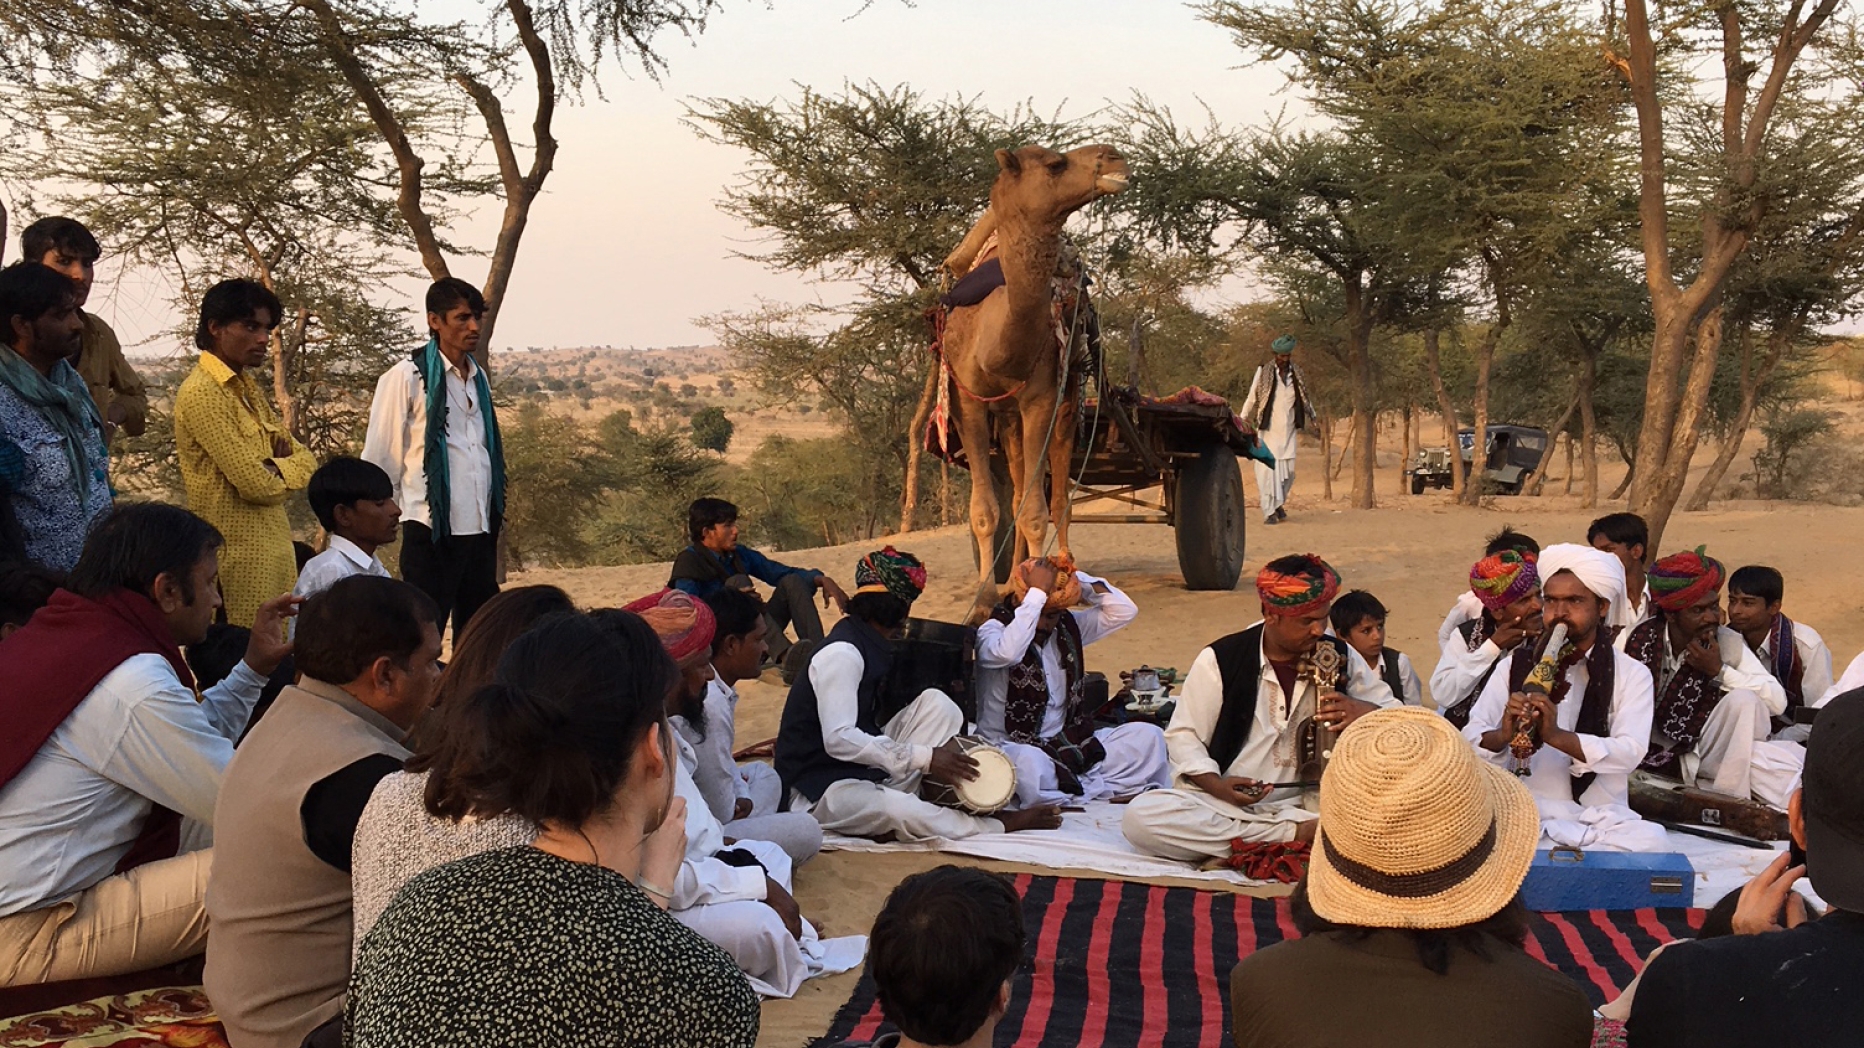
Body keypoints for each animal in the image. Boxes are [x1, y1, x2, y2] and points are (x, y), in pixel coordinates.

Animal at [939, 139, 1125, 615]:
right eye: (1056, 164)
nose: (1115, 156)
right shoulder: (968, 401)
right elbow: (987, 510)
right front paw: (987, 595)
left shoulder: (1041, 397)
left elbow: (1037, 511)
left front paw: (1042, 591)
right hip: (1006, 420)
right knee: (1021, 484)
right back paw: (1015, 577)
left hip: (1068, 398)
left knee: (1057, 498)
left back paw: (1063, 568)